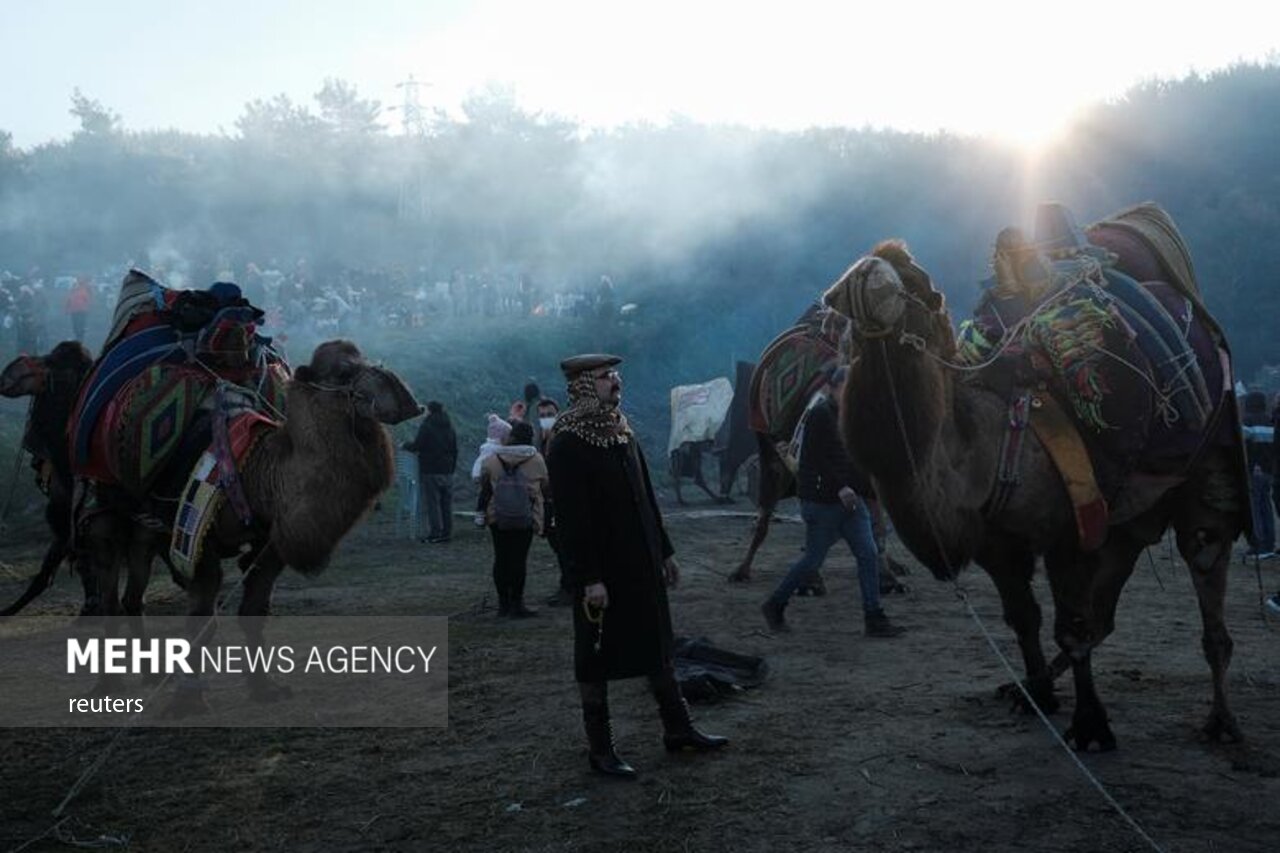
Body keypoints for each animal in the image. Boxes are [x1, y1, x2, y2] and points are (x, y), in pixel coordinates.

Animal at [824, 229, 1244, 747]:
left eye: (920, 285)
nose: (864, 273)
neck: (988, 451)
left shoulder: (1071, 531)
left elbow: (1073, 628)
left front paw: (1089, 726)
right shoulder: (998, 544)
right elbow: (1025, 618)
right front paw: (1038, 696)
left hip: (1206, 474)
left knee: (1205, 579)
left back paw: (1222, 723)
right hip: (1126, 524)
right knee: (1107, 610)